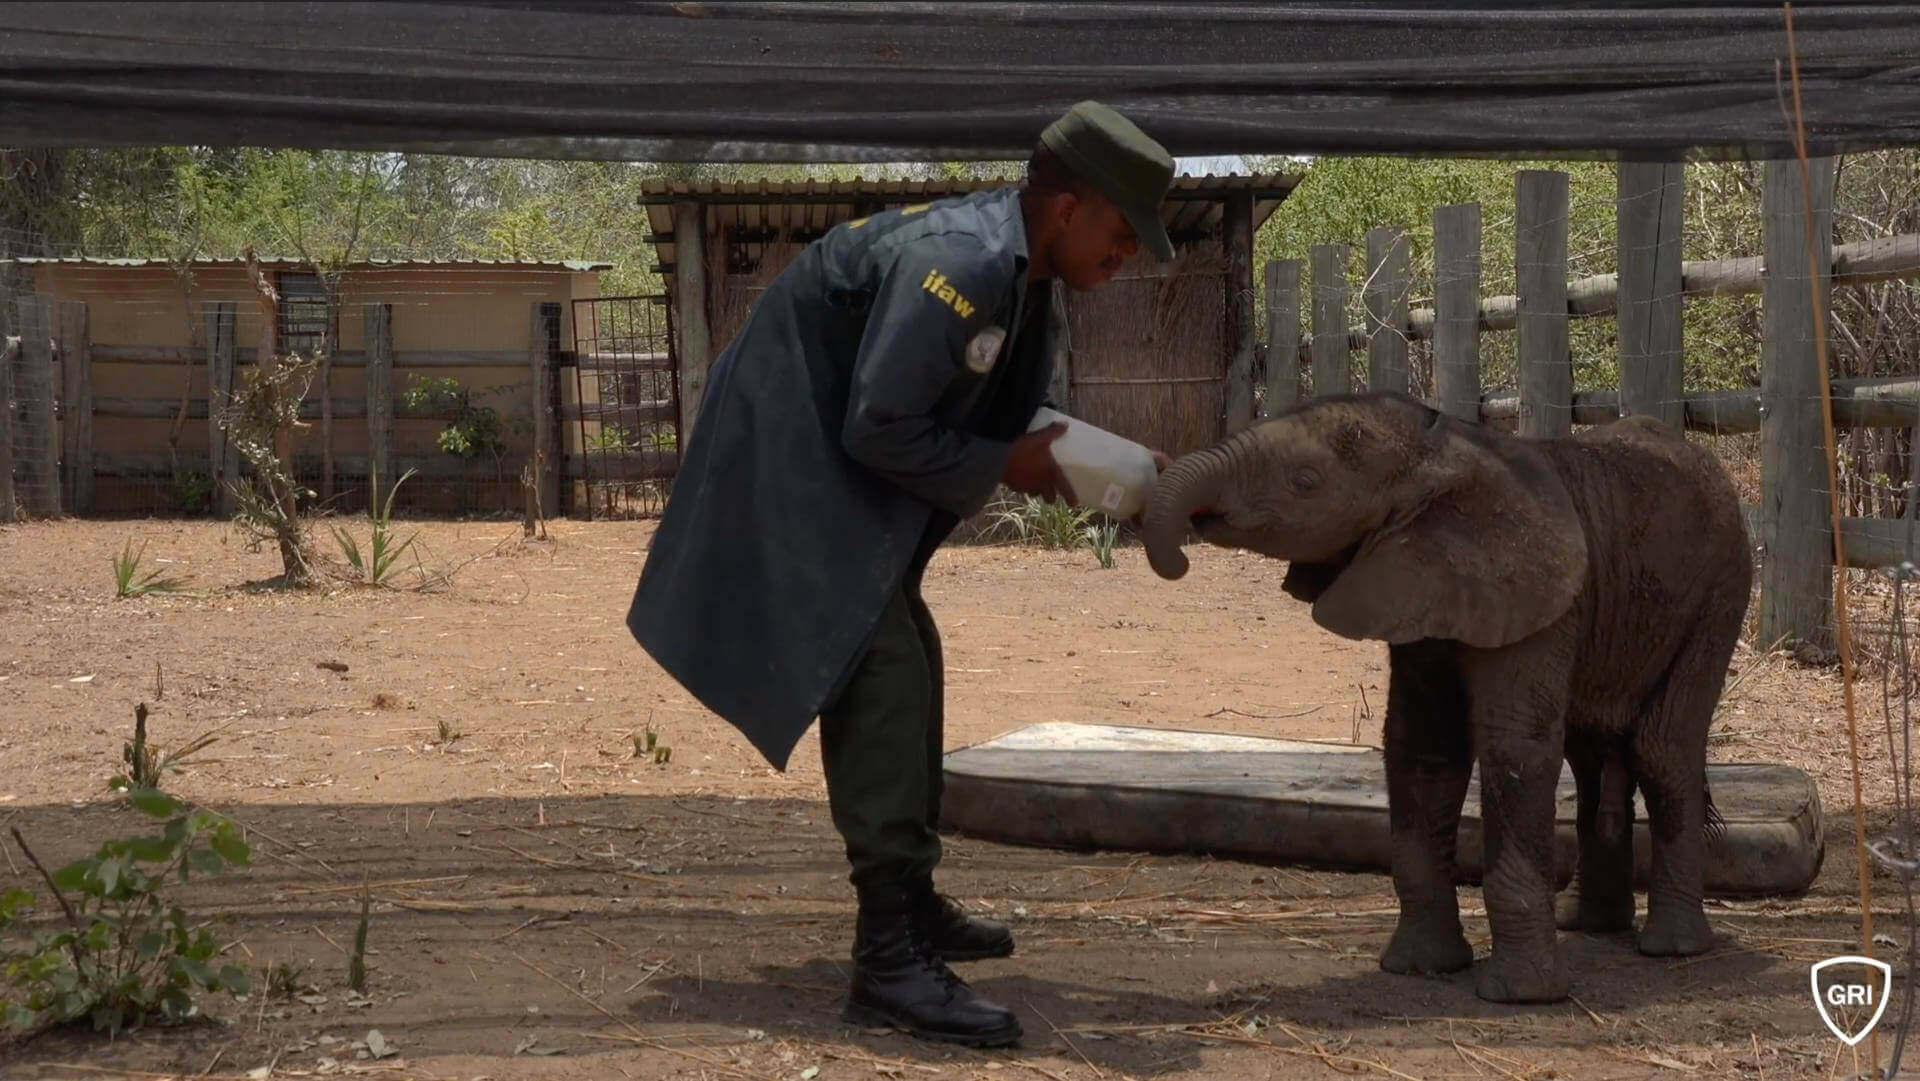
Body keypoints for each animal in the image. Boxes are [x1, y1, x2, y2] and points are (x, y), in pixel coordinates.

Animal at [1140, 390, 1751, 1004]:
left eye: (1305, 482)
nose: (1181, 552)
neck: (1441, 451)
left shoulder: (1534, 599)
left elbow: (1514, 749)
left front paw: (1519, 996)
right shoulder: (1422, 588)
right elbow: (1423, 747)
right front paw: (1419, 967)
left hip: (1721, 591)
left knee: (1660, 748)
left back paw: (1672, 948)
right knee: (1593, 755)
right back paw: (1588, 925)